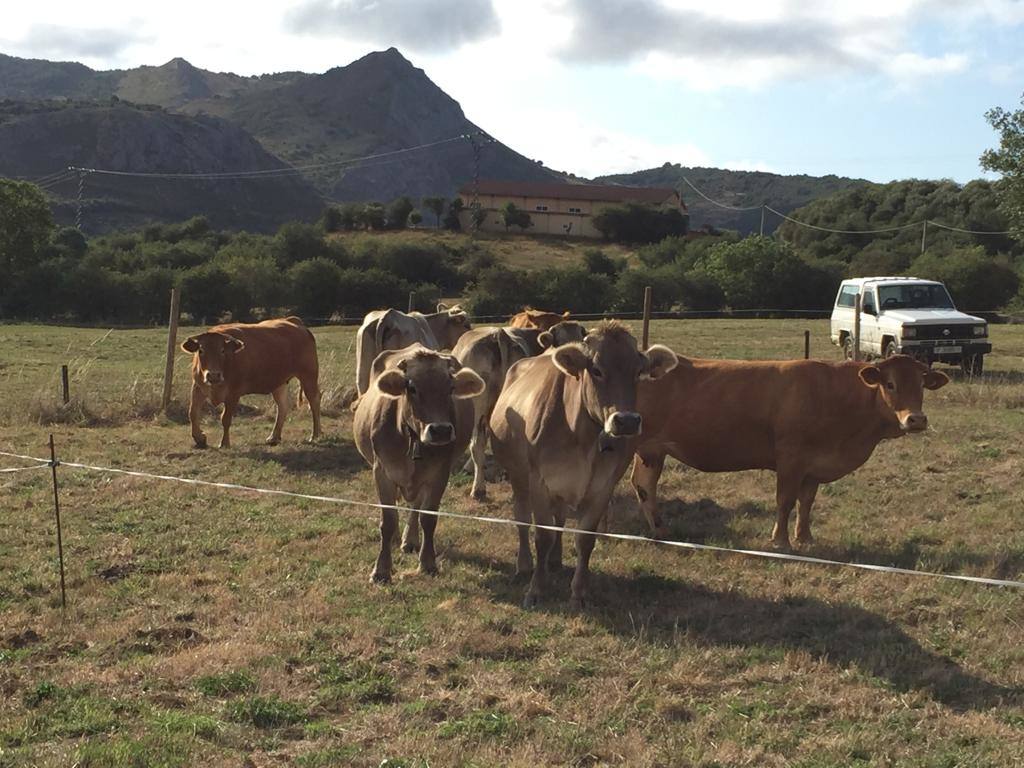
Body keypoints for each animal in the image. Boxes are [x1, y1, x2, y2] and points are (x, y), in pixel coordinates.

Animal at [182, 317, 321, 450]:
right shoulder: (198, 388)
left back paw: (315, 435)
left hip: (308, 376)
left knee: (314, 401)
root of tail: (295, 322)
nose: (213, 375)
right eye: (201, 350)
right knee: (282, 406)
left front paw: (224, 443)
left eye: (222, 351)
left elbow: (225, 418)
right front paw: (199, 439)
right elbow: (192, 413)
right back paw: (274, 437)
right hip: (279, 383)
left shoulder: (233, 393)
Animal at [354, 344, 485, 581]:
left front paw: (428, 562)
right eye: (412, 388)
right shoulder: (382, 472)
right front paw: (382, 569)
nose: (441, 430)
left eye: (450, 387)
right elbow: (388, 520)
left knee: (415, 507)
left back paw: (410, 539)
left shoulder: (439, 475)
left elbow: (428, 519)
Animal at [489, 321, 679, 610]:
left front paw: (578, 593)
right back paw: (524, 566)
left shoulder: (602, 487)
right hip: (518, 476)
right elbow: (542, 536)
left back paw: (555, 561)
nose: (626, 421)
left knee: (559, 519)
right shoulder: (539, 482)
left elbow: (585, 539)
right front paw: (536, 589)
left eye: (638, 372)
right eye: (596, 369)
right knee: (521, 519)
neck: (582, 438)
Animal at [630, 358, 950, 548]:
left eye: (922, 384)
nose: (916, 419)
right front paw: (781, 541)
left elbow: (806, 503)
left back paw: (660, 531)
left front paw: (805, 538)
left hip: (651, 450)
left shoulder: (814, 467)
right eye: (890, 383)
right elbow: (785, 501)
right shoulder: (790, 459)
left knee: (644, 485)